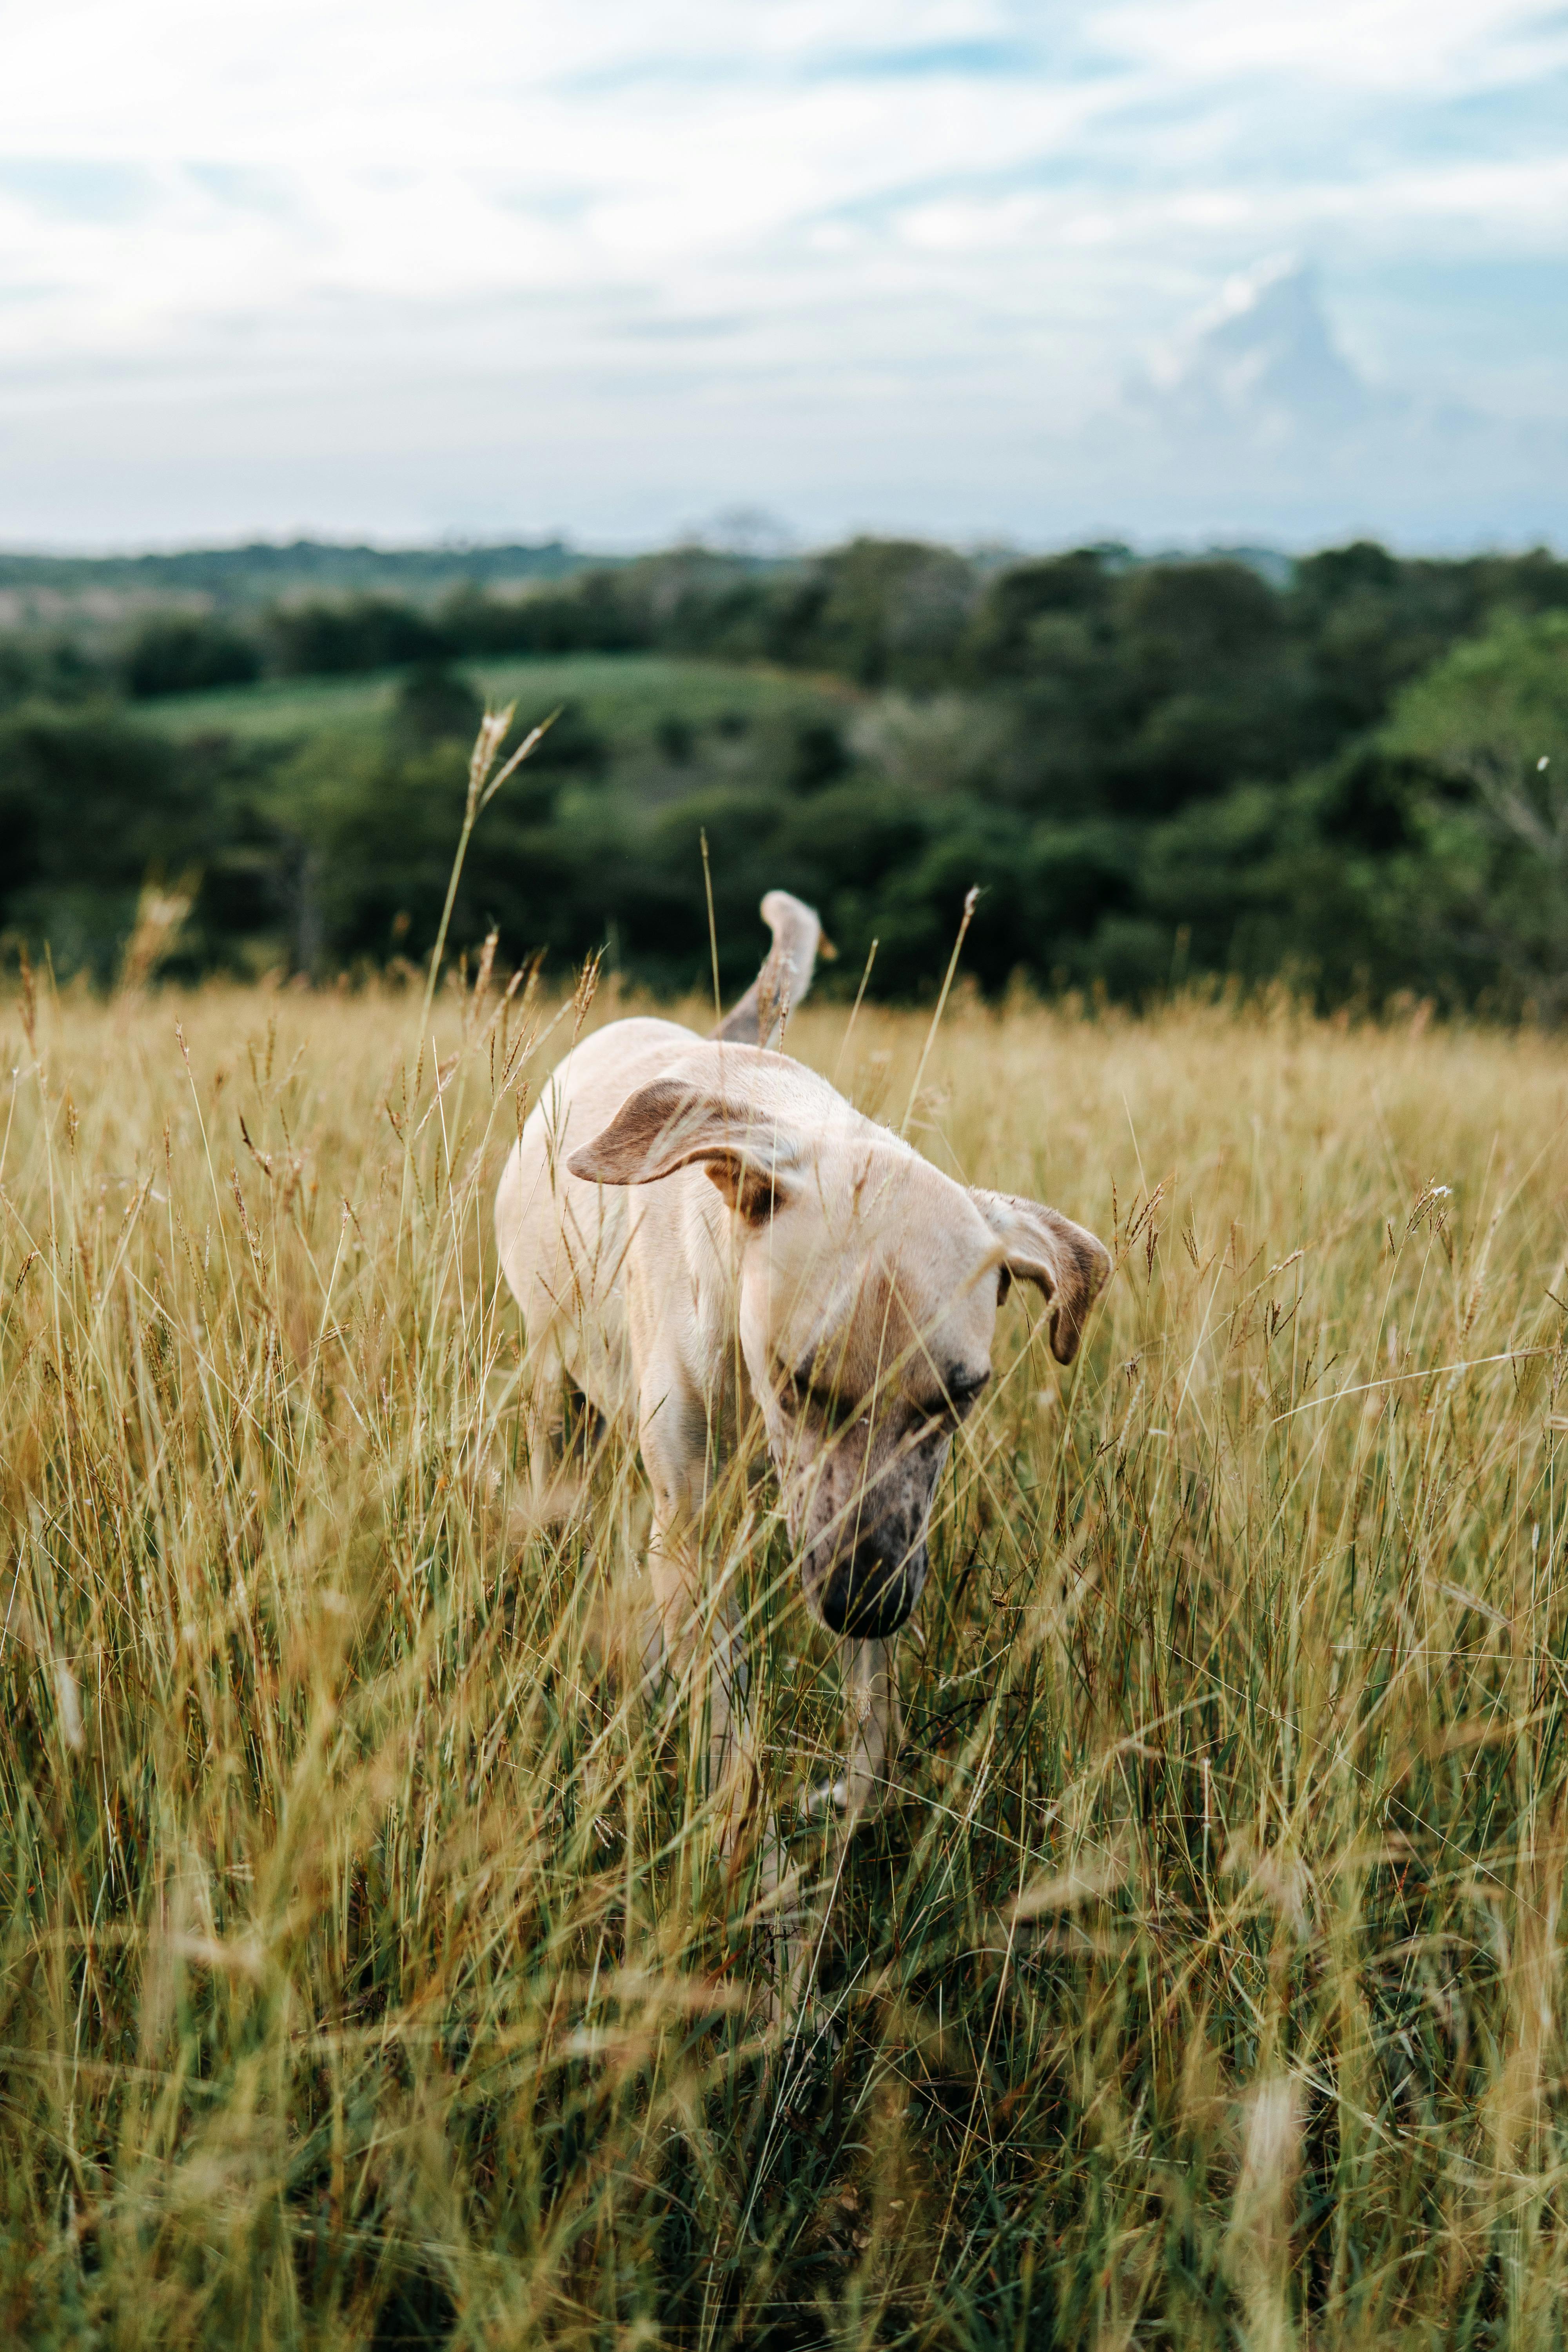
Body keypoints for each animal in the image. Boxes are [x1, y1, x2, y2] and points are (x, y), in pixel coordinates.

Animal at [496, 889, 1109, 1825]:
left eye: (960, 1396)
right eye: (797, 1381)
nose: (863, 1607)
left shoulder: (888, 1536)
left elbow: (877, 1734)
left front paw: (837, 1799)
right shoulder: (696, 1530)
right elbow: (735, 1749)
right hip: (554, 1397)